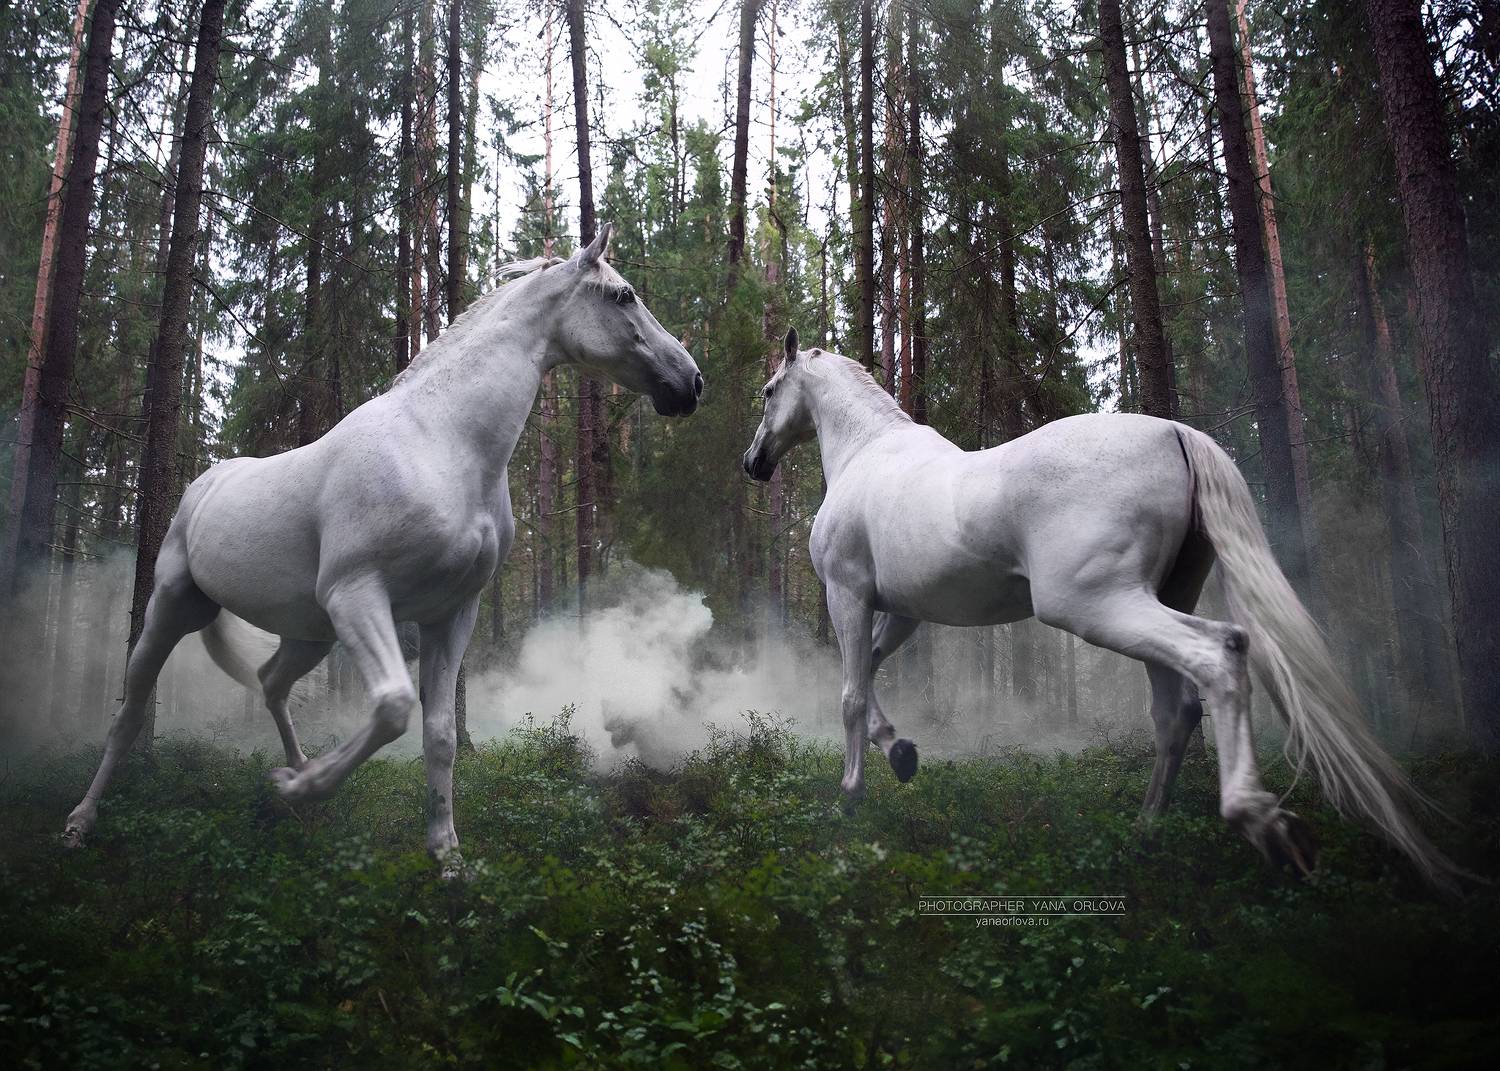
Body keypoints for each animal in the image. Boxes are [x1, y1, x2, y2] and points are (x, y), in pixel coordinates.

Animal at [63, 225, 703, 864]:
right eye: (623, 295)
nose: (690, 382)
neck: (442, 444)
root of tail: (205, 482)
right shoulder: (359, 595)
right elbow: (393, 707)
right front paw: (313, 787)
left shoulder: (451, 613)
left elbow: (439, 734)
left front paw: (446, 855)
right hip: (173, 609)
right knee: (130, 713)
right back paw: (81, 820)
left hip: (310, 634)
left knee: (271, 683)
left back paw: (294, 784)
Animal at [742, 328, 1456, 886]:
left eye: (769, 391)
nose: (754, 463)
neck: (865, 454)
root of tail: (1176, 432)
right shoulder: (901, 610)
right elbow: (867, 673)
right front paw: (899, 752)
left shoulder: (850, 595)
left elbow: (850, 692)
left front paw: (850, 798)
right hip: (1154, 600)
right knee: (1176, 711)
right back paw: (1146, 830)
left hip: (1098, 606)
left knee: (1220, 653)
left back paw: (1260, 821)